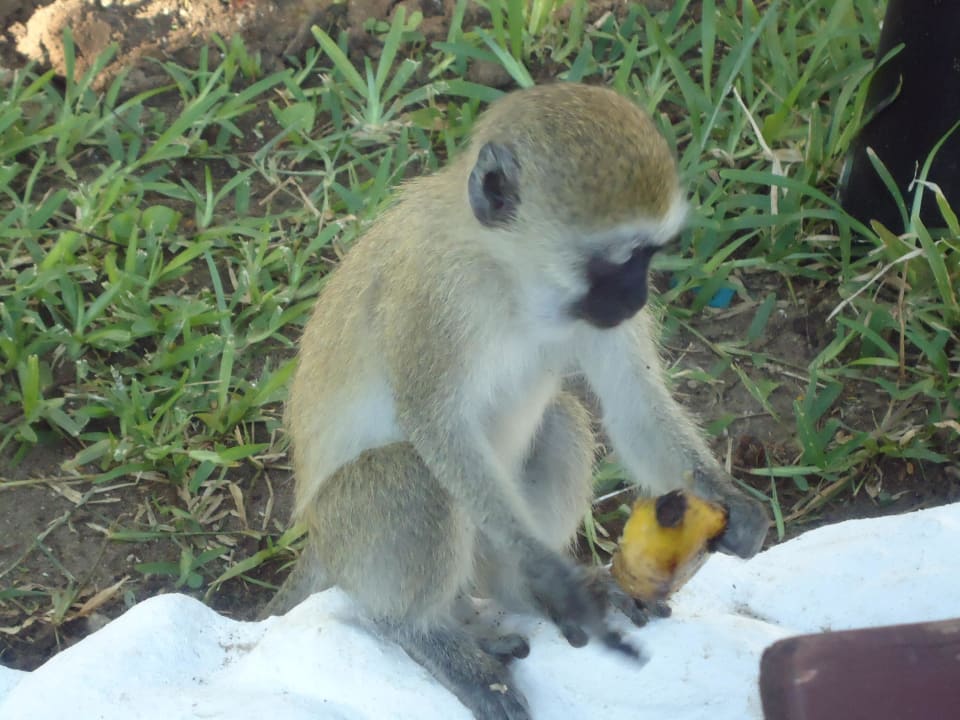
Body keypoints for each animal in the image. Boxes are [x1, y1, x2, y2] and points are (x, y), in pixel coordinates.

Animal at [262, 82, 770, 720]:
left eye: (650, 255)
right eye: (618, 259)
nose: (637, 297)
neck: (509, 277)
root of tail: (318, 541)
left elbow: (634, 402)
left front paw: (732, 505)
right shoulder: (431, 293)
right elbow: (434, 426)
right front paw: (547, 573)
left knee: (562, 422)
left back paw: (521, 592)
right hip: (348, 531)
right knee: (412, 472)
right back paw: (423, 630)